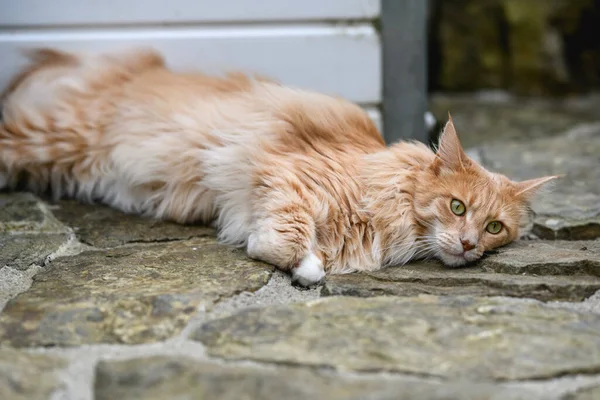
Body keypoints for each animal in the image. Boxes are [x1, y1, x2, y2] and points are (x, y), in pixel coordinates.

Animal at [0, 48, 556, 286]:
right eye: (457, 207)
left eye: (494, 228)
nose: (469, 245)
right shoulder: (287, 176)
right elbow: (284, 240)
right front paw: (288, 259)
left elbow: (307, 254)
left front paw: (309, 267)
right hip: (54, 137)